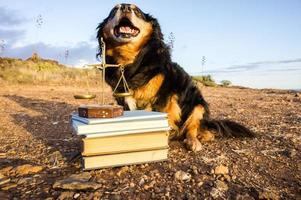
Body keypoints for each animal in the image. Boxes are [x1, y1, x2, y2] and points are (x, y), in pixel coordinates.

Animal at [96, 3, 253, 152]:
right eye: (113, 11)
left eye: (137, 12)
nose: (125, 6)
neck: (130, 60)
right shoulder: (122, 96)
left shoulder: (165, 95)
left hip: (198, 106)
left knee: (193, 128)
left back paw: (195, 140)